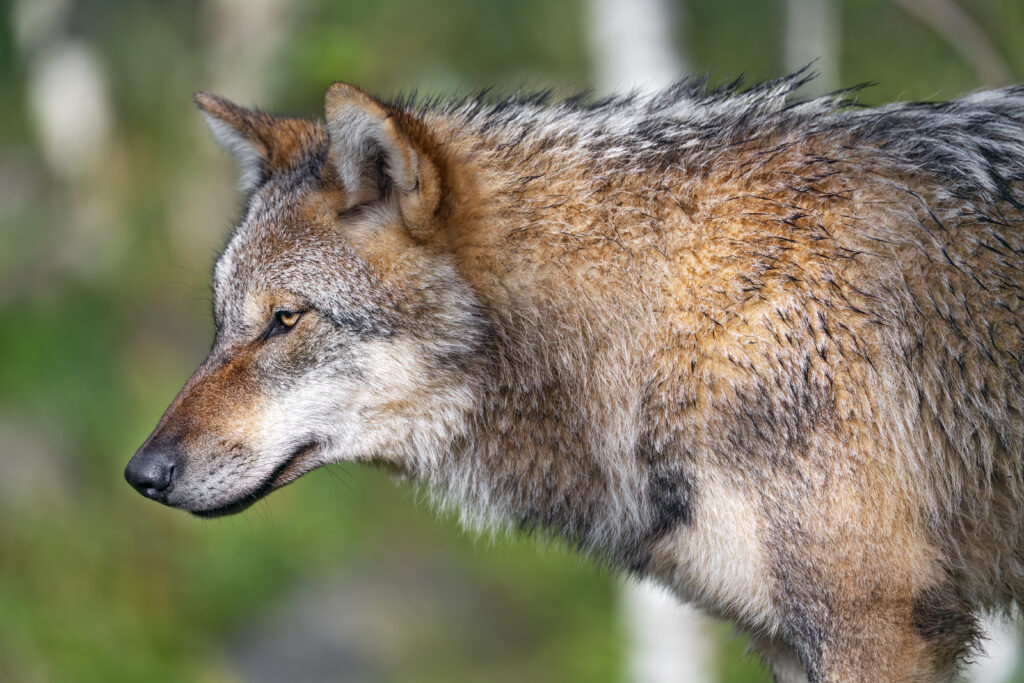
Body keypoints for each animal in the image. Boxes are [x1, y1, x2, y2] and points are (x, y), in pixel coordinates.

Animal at [124, 72, 1024, 681]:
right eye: (223, 320)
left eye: (286, 319)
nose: (142, 473)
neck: (666, 310)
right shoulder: (793, 638)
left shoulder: (875, 626)